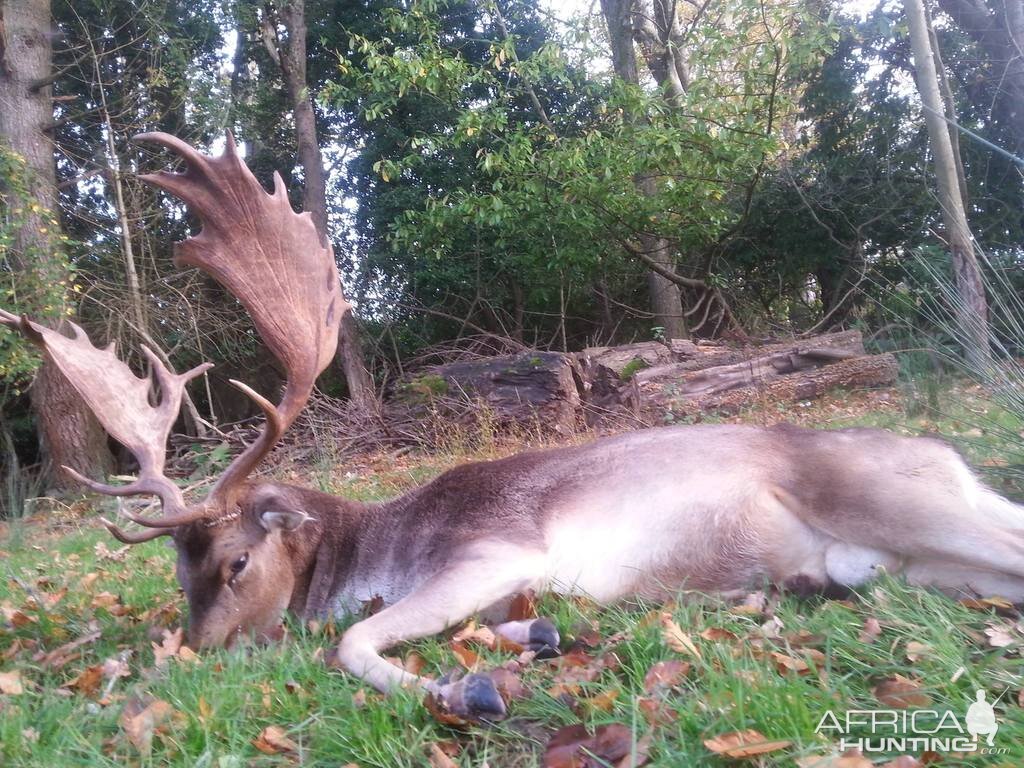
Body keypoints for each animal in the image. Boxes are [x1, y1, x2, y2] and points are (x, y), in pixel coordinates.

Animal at [4, 134, 1019, 720]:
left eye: (238, 562)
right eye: (178, 575)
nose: (189, 663)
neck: (374, 550)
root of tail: (948, 456)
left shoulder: (492, 548)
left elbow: (349, 642)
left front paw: (464, 689)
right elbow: (503, 626)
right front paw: (533, 641)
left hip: (891, 497)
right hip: (912, 564)